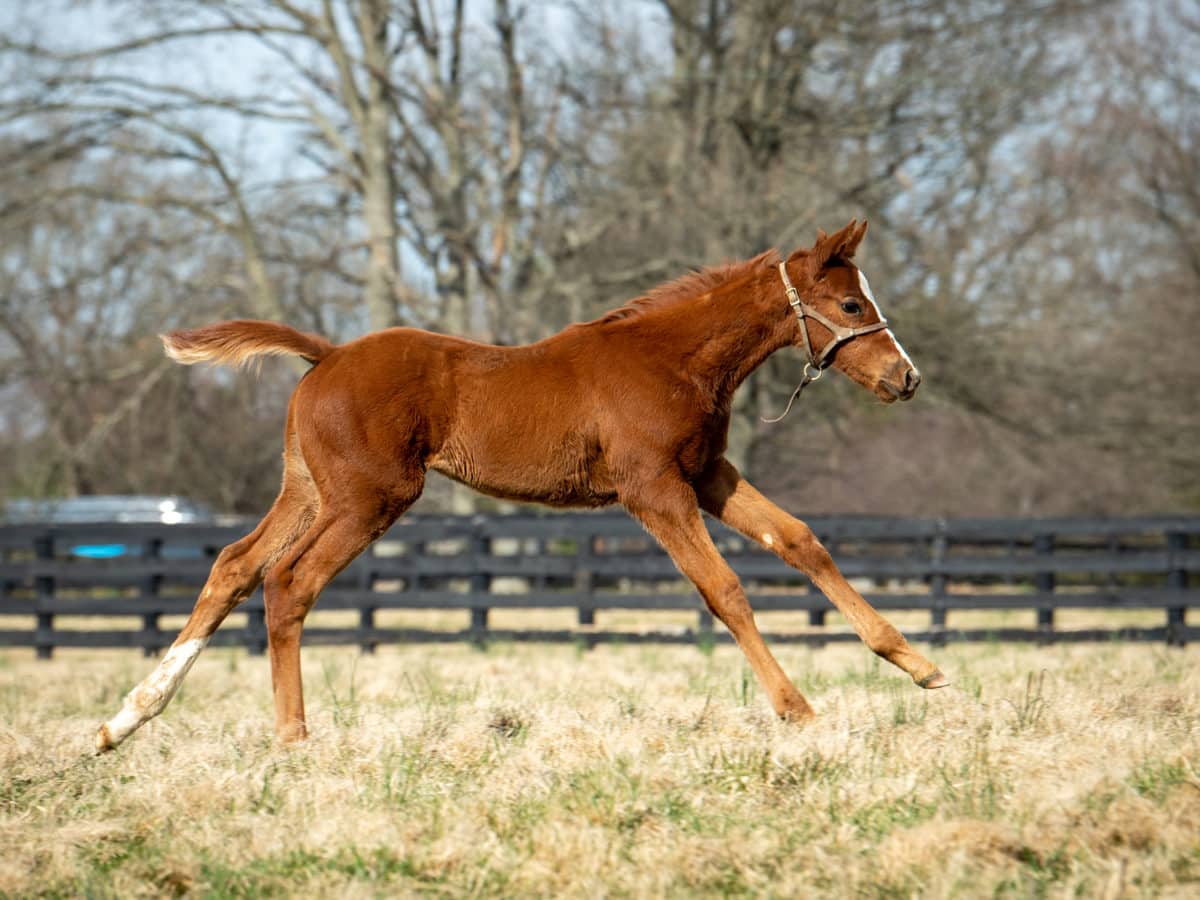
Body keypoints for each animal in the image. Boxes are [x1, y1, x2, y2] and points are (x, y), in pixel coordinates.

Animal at [96, 220, 945, 753]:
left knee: (235, 566)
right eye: (850, 304)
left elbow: (800, 540)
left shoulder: (706, 475)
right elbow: (724, 589)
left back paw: (125, 720)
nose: (906, 379)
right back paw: (292, 739)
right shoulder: (652, 490)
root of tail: (326, 355)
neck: (670, 360)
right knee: (288, 583)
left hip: (308, 491)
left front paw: (917, 662)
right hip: (369, 499)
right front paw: (798, 710)